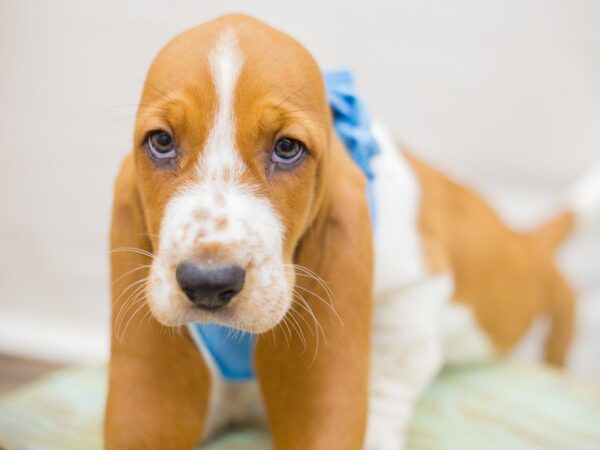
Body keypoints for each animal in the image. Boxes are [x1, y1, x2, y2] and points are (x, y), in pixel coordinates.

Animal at [105, 13, 596, 450]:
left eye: (287, 148)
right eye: (161, 142)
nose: (208, 283)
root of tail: (529, 241)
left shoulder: (416, 285)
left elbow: (388, 376)